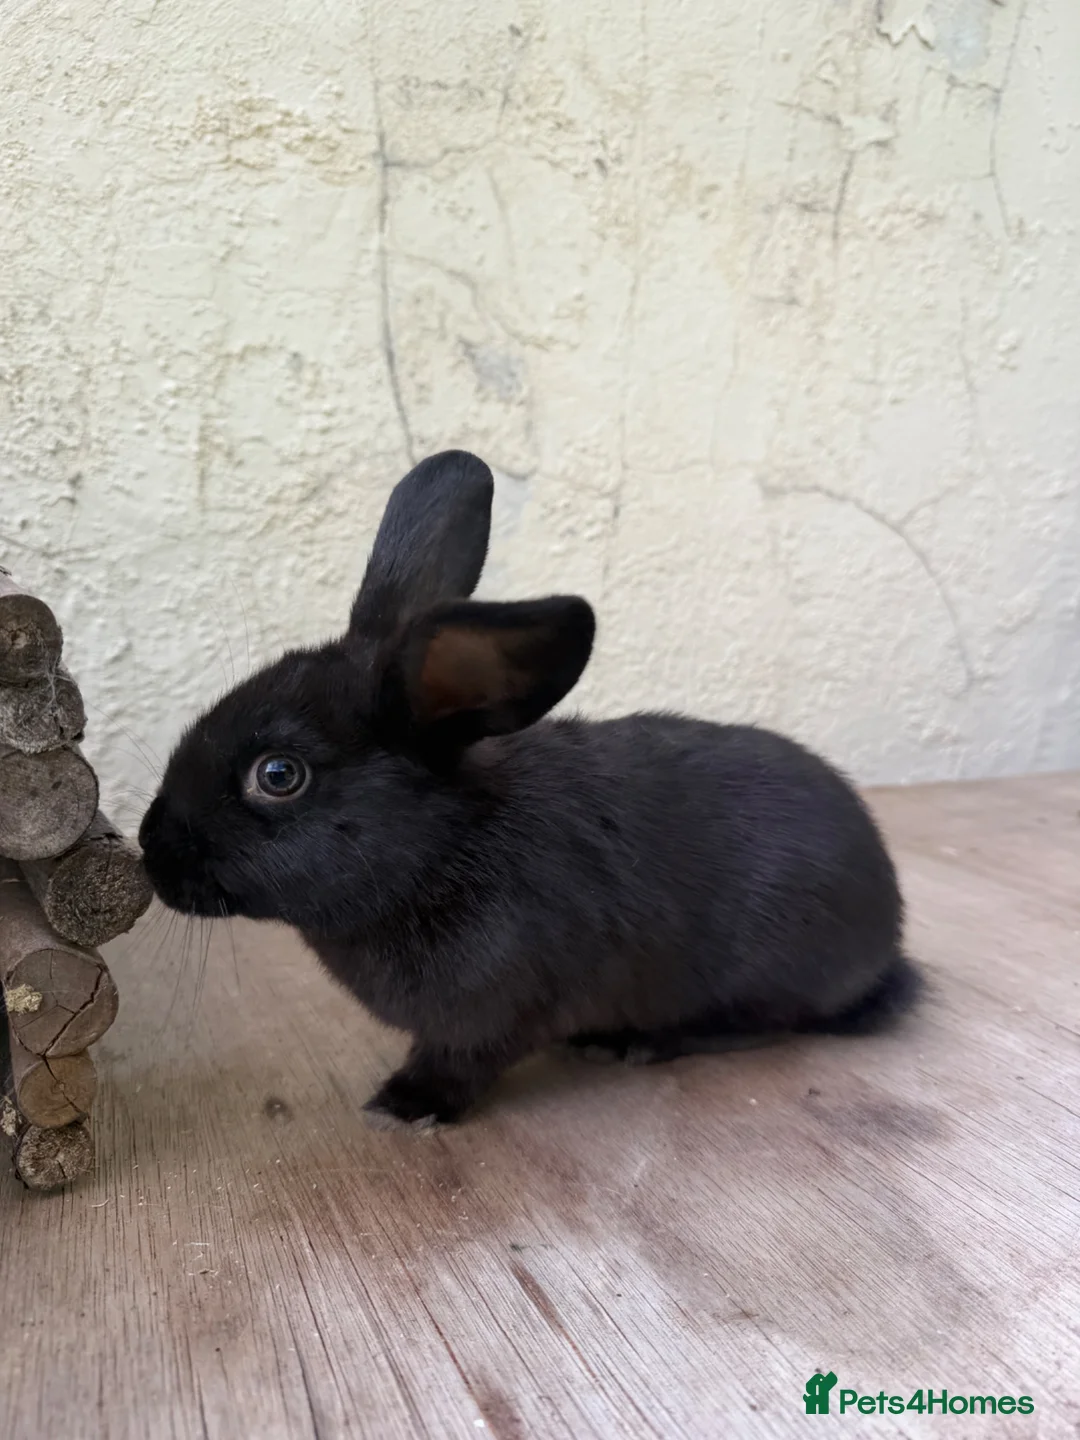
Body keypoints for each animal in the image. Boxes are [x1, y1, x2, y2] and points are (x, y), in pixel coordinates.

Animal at [140, 449, 922, 1129]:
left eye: (278, 776)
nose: (151, 851)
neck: (437, 852)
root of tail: (888, 936)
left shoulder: (496, 1012)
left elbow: (462, 1064)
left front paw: (404, 1105)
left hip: (765, 974)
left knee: (766, 1025)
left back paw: (632, 1042)